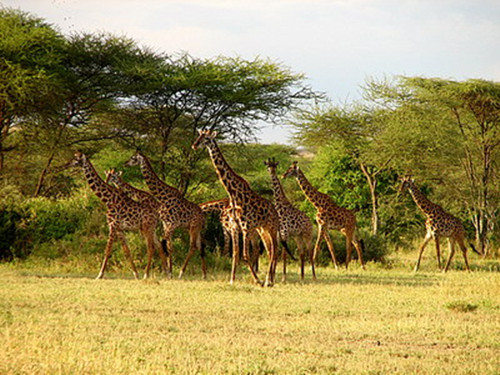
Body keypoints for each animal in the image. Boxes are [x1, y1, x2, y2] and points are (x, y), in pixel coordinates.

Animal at [69, 152, 160, 280]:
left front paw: (100, 275)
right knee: (158, 246)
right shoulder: (119, 229)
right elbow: (127, 251)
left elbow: (107, 250)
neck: (108, 199)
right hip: (151, 229)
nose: (68, 164)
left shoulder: (112, 226)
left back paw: (146, 275)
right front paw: (136, 274)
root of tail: (156, 214)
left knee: (151, 248)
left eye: (76, 159)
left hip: (147, 228)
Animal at [125, 152, 207, 280]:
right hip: (194, 228)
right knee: (200, 245)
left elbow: (164, 245)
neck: (163, 197)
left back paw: (181, 273)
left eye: (133, 158)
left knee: (193, 246)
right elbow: (169, 246)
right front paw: (169, 272)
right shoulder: (166, 224)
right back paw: (204, 274)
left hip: (194, 227)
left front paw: (169, 272)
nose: (125, 163)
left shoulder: (171, 224)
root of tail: (203, 217)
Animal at [191, 131, 280, 286]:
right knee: (270, 250)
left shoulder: (245, 227)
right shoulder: (235, 227)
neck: (233, 194)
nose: (194, 145)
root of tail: (274, 210)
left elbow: (244, 255)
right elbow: (235, 253)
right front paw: (232, 280)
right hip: (263, 229)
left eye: (206, 138)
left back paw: (268, 280)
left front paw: (257, 280)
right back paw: (269, 279)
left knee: (274, 250)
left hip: (272, 228)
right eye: (199, 136)